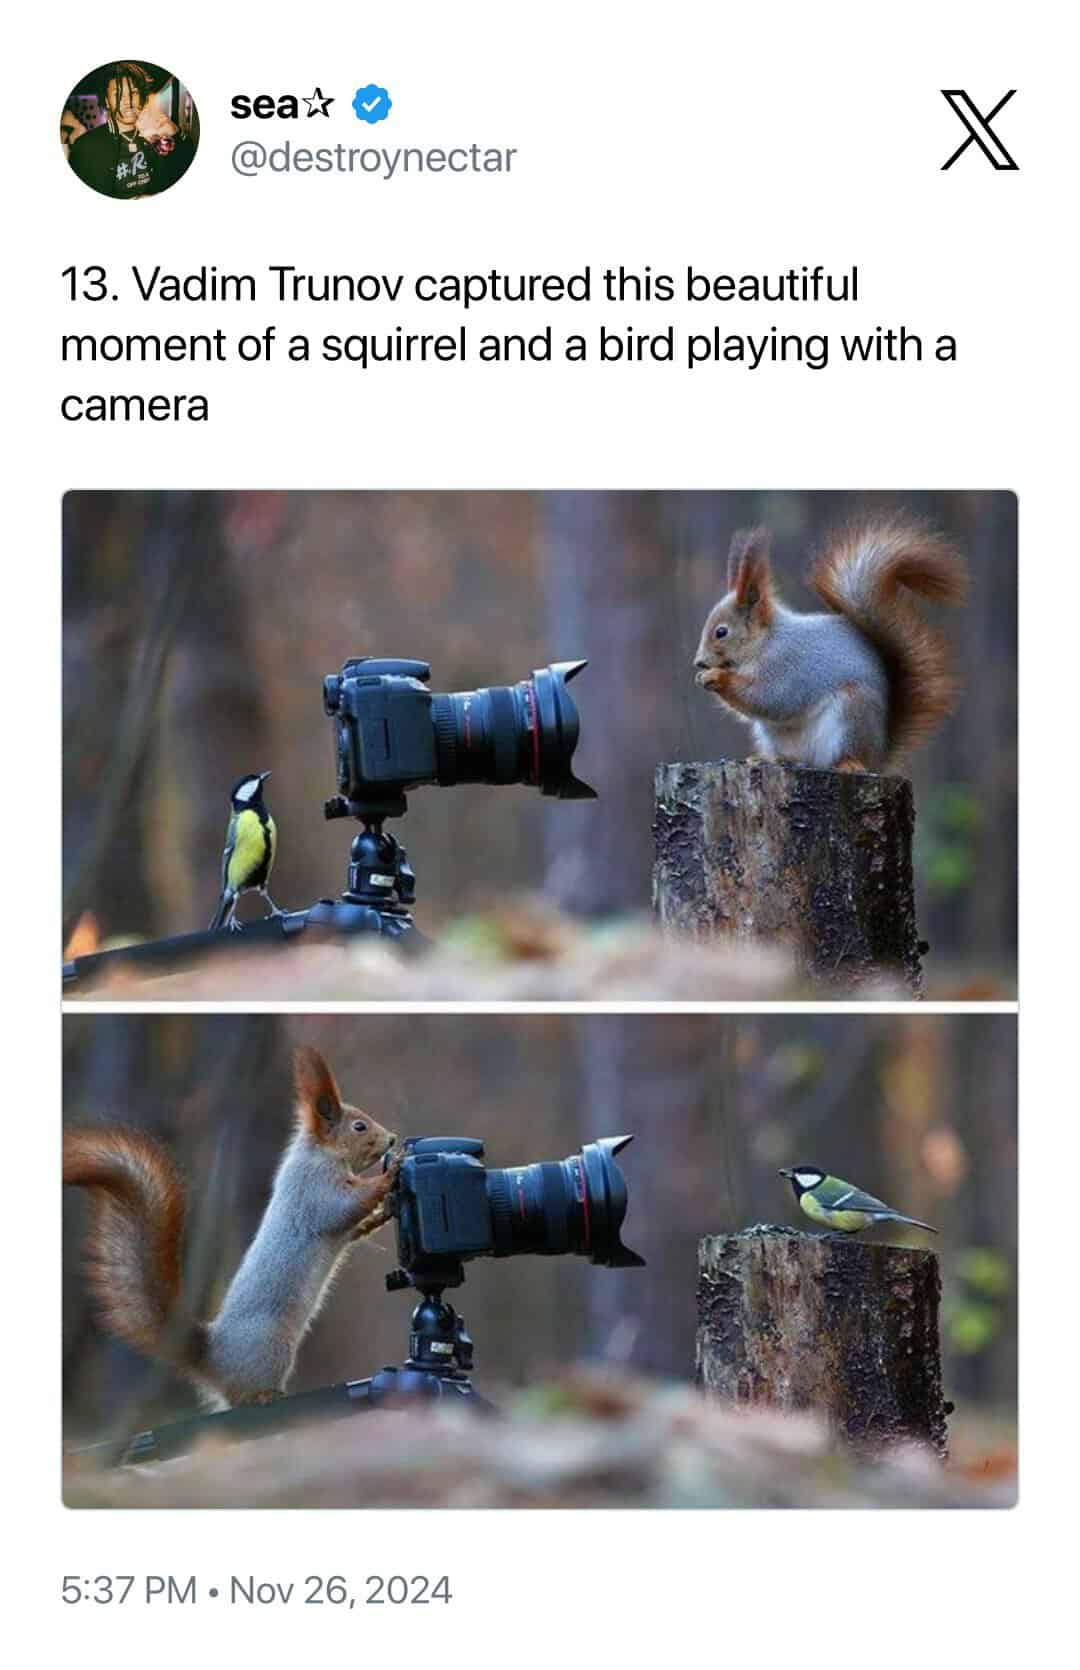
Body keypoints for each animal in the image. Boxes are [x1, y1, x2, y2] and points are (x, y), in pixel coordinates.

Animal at [63, 1046, 401, 1409]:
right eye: (359, 1126)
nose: (393, 1138)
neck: (320, 1153)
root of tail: (215, 1360)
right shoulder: (313, 1188)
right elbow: (341, 1208)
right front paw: (390, 1174)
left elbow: (353, 1227)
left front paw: (382, 1212)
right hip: (273, 1349)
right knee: (244, 1396)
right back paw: (266, 1395)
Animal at [693, 517, 968, 772]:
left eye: (721, 632)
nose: (699, 663)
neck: (764, 643)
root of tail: (878, 756)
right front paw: (705, 677)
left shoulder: (788, 665)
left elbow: (771, 698)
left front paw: (717, 677)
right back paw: (772, 758)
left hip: (852, 714)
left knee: (848, 754)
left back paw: (849, 763)